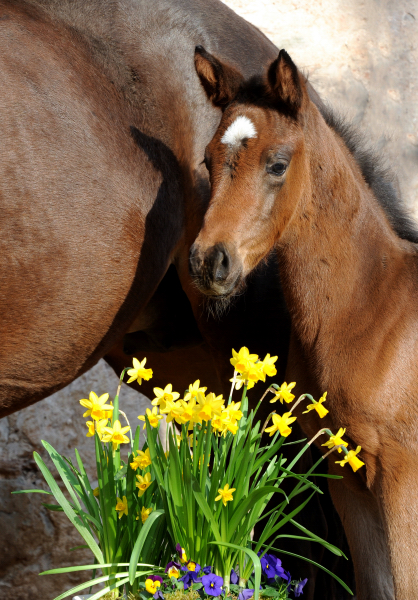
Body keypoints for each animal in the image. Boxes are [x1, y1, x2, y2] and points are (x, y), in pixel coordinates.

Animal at [189, 47, 418, 600]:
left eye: (277, 164)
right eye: (207, 160)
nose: (209, 263)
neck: (372, 313)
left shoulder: (402, 474)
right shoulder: (347, 473)